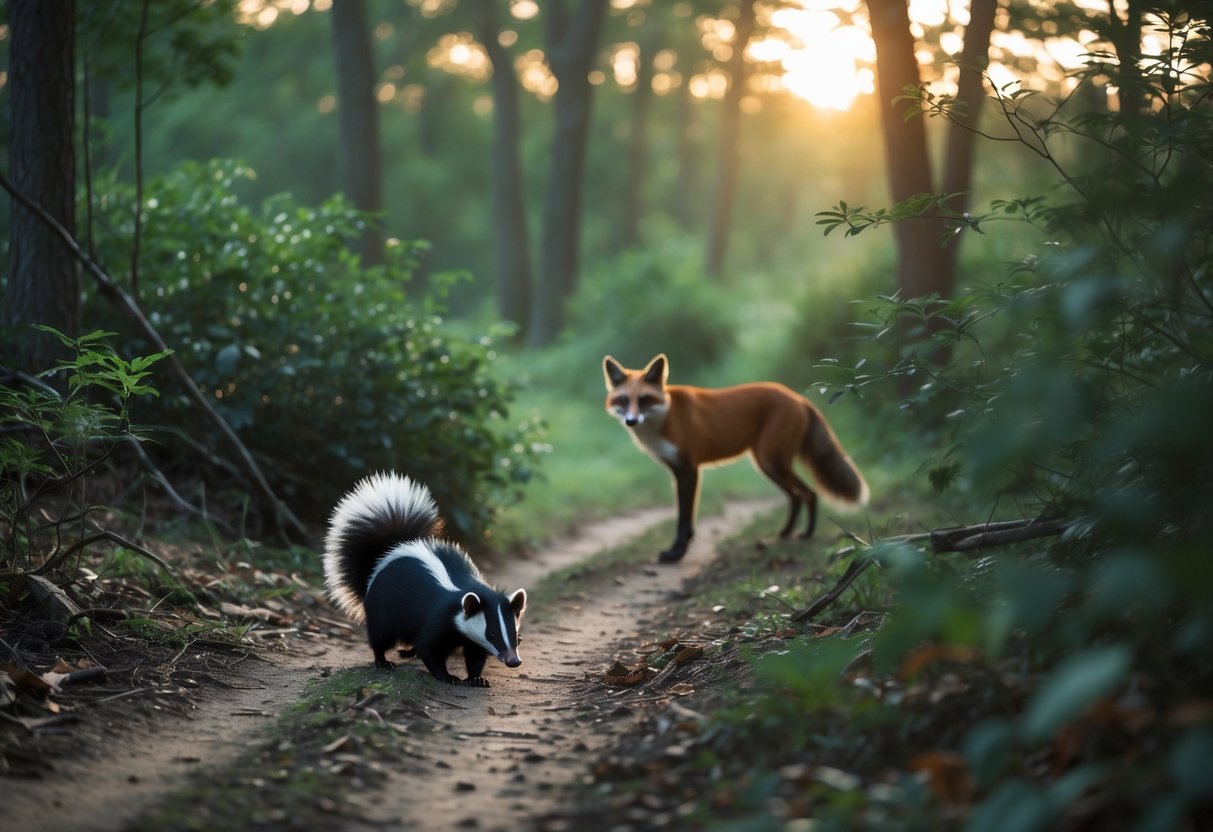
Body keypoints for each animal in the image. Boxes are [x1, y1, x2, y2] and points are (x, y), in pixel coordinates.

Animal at [603, 354, 869, 563]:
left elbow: (683, 519)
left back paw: (807, 534)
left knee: (809, 493)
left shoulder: (689, 468)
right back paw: (786, 533)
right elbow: (688, 516)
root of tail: (798, 397)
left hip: (770, 462)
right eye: (624, 399)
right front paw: (685, 543)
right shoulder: (678, 471)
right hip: (770, 465)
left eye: (644, 399)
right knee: (797, 496)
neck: (665, 419)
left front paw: (677, 553)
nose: (631, 420)